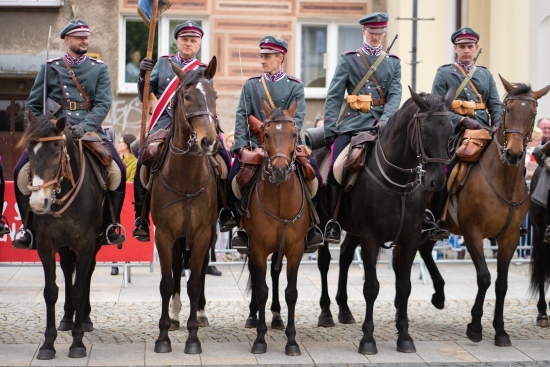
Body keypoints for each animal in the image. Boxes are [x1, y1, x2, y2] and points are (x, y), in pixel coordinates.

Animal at [17, 114, 105, 360]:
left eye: (56, 153)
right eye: (30, 152)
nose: (39, 203)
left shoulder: (86, 244)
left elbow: (79, 289)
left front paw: (77, 342)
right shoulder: (46, 245)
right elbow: (51, 291)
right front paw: (48, 343)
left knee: (86, 275)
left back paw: (84, 319)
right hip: (65, 246)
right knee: (67, 270)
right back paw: (67, 318)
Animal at [246, 100, 314, 356]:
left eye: (294, 133)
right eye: (266, 134)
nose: (280, 170)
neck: (280, 200)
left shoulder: (295, 249)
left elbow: (291, 293)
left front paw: (292, 341)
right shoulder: (256, 247)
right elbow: (261, 289)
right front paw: (260, 339)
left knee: (275, 274)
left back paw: (276, 316)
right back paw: (253, 316)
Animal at [418, 76, 550, 346]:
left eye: (533, 113)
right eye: (508, 109)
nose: (514, 153)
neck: (504, 180)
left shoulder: (510, 238)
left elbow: (501, 284)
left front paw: (500, 330)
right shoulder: (473, 233)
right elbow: (484, 277)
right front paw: (475, 326)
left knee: (425, 250)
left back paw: (439, 294)